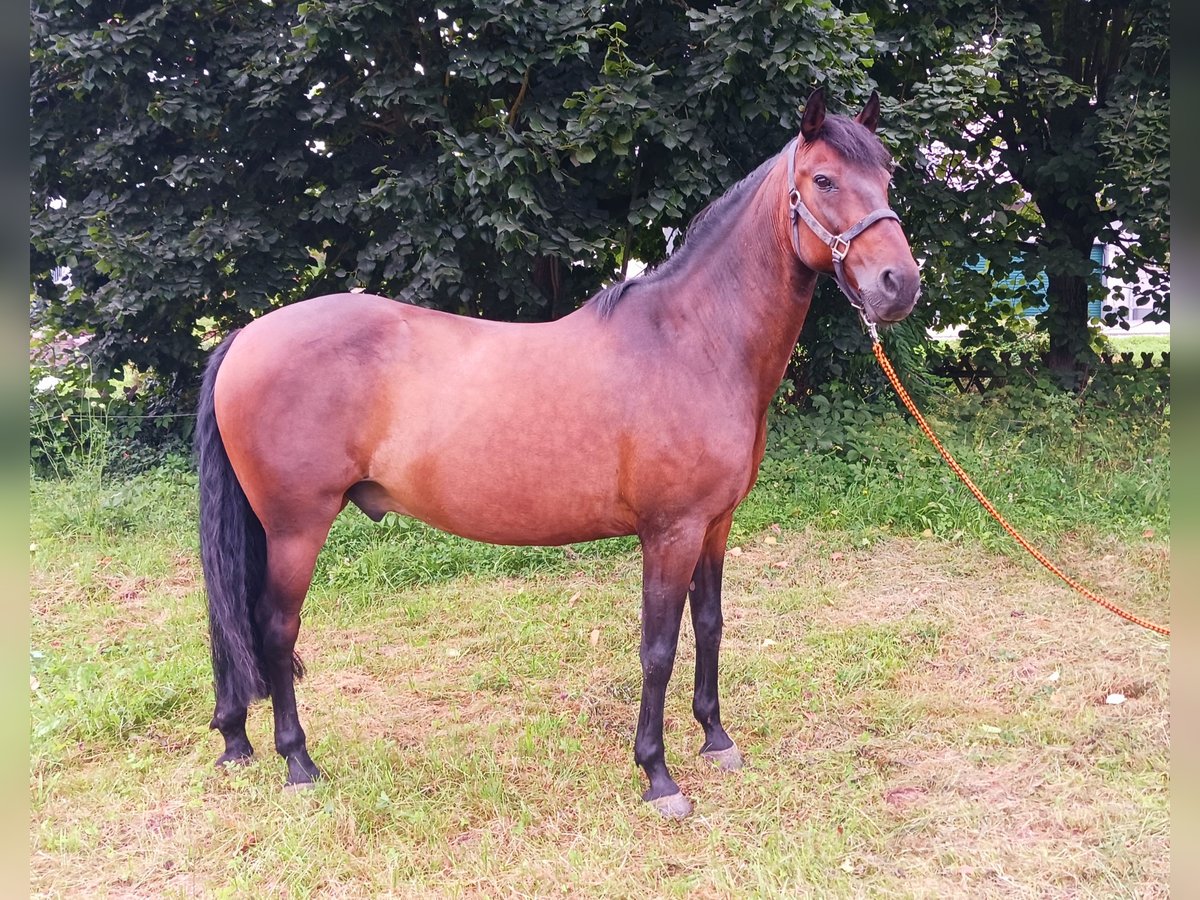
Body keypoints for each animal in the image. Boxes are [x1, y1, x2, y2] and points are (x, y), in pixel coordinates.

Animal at [196, 90, 916, 816]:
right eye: (823, 180)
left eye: (887, 178)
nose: (899, 284)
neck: (694, 344)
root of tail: (245, 336)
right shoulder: (670, 531)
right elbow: (658, 647)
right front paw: (658, 775)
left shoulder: (715, 524)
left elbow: (710, 625)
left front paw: (716, 739)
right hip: (296, 527)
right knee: (275, 629)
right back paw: (297, 761)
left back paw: (239, 740)